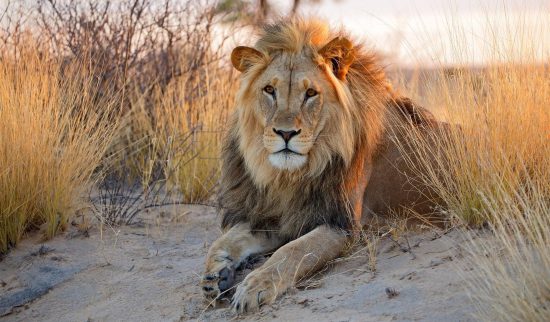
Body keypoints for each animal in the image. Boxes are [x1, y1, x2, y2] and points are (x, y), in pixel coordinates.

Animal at [203, 18, 448, 314]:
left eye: (310, 93)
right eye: (269, 90)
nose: (285, 133)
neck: (290, 177)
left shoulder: (341, 225)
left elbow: (292, 251)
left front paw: (255, 287)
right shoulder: (278, 214)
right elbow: (225, 241)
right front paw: (216, 274)